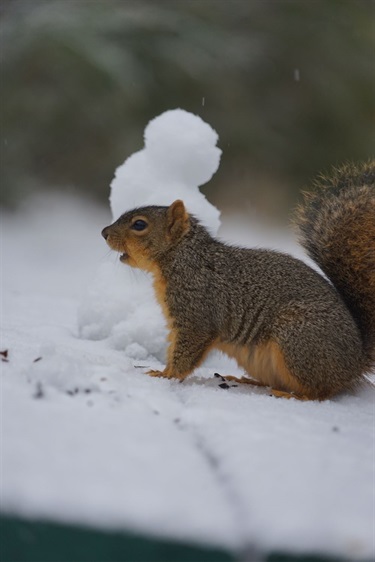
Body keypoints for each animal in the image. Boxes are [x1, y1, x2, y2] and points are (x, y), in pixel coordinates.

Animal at [101, 160, 374, 400]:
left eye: (139, 225)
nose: (104, 232)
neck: (181, 257)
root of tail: (355, 360)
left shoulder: (196, 310)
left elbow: (188, 350)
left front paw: (164, 375)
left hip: (298, 340)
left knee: (322, 391)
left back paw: (293, 395)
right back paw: (248, 381)